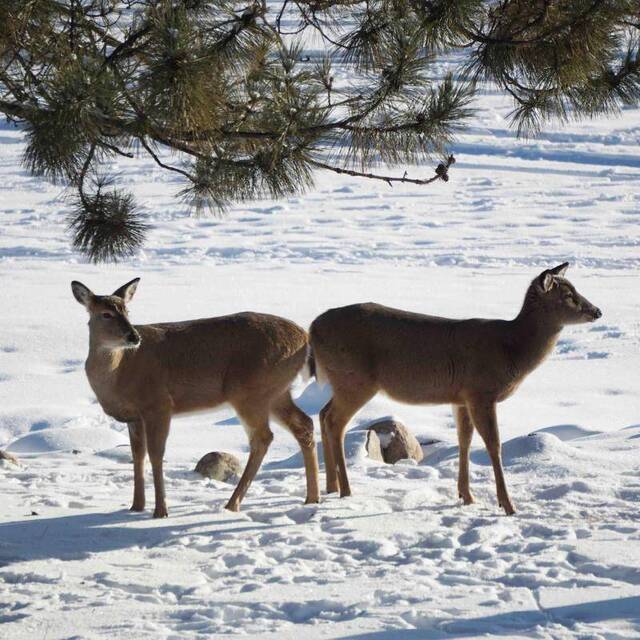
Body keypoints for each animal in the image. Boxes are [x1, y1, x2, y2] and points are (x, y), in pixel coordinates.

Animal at [72, 278, 320, 516]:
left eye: (127, 311)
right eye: (106, 314)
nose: (134, 336)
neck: (120, 371)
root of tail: (305, 338)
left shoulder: (158, 404)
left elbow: (156, 454)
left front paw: (160, 511)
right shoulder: (134, 417)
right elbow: (138, 456)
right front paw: (136, 506)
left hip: (251, 391)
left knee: (263, 437)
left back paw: (232, 504)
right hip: (276, 391)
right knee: (304, 424)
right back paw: (312, 498)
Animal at [308, 262, 600, 516]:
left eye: (575, 288)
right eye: (568, 295)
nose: (597, 311)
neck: (511, 349)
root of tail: (312, 328)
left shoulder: (461, 397)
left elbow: (464, 441)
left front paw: (467, 496)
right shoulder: (481, 391)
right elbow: (493, 444)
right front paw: (507, 505)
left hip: (343, 381)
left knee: (323, 414)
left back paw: (331, 486)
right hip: (355, 380)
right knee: (335, 421)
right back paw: (345, 490)